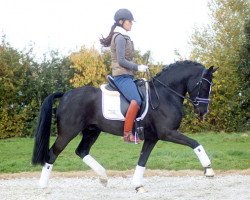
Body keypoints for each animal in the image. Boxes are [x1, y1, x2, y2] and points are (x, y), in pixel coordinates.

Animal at [32, 60, 217, 191]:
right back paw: (42, 186)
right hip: (67, 132)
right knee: (52, 154)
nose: (203, 111)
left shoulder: (152, 137)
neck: (165, 94)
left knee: (82, 151)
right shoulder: (167, 133)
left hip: (92, 131)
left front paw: (137, 185)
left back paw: (104, 177)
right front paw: (208, 169)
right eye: (203, 84)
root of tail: (66, 95)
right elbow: (195, 143)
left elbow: (142, 159)